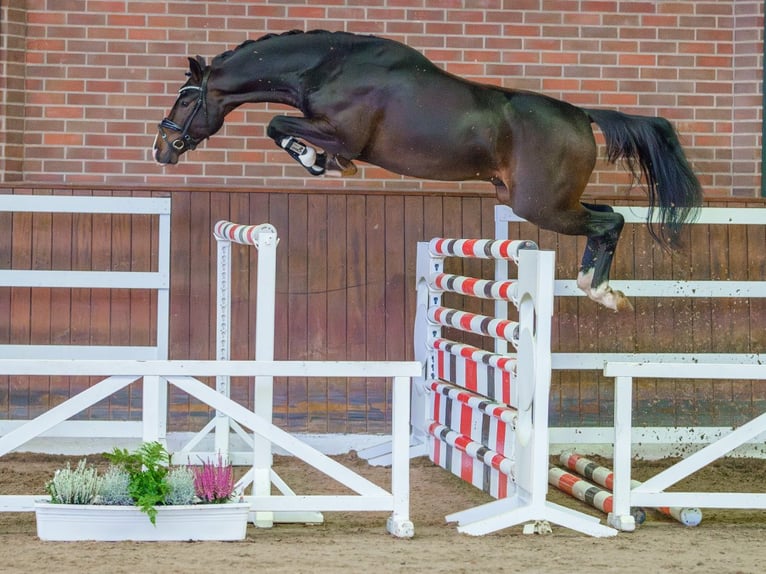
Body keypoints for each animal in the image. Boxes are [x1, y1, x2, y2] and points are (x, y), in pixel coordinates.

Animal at [153, 29, 704, 312]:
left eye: (185, 98)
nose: (162, 148)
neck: (329, 67)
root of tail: (583, 115)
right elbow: (279, 125)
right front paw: (324, 164)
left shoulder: (342, 133)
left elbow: (277, 123)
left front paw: (319, 163)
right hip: (536, 200)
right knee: (605, 216)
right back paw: (599, 287)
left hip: (541, 206)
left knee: (612, 221)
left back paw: (603, 293)